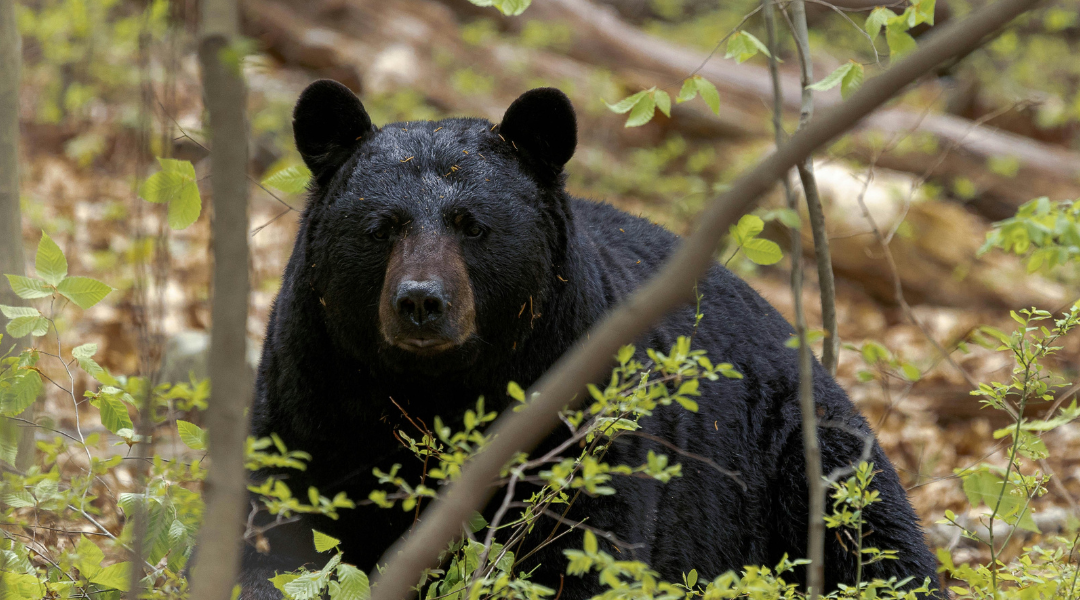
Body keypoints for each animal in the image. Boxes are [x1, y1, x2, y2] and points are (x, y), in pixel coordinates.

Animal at [240, 80, 941, 600]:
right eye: (382, 227)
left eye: (473, 225)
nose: (420, 302)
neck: (435, 390)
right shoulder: (312, 394)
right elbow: (276, 536)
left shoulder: (580, 410)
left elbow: (583, 547)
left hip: (797, 453)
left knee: (873, 539)